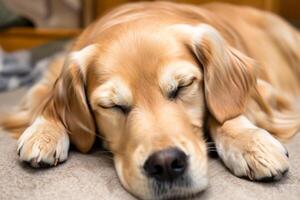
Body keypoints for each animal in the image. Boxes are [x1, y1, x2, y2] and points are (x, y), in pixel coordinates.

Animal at [0, 1, 300, 200]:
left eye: (182, 86)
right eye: (113, 106)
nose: (166, 164)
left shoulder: (267, 93)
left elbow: (224, 111)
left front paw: (250, 142)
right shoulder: (51, 74)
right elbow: (45, 99)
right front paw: (44, 132)